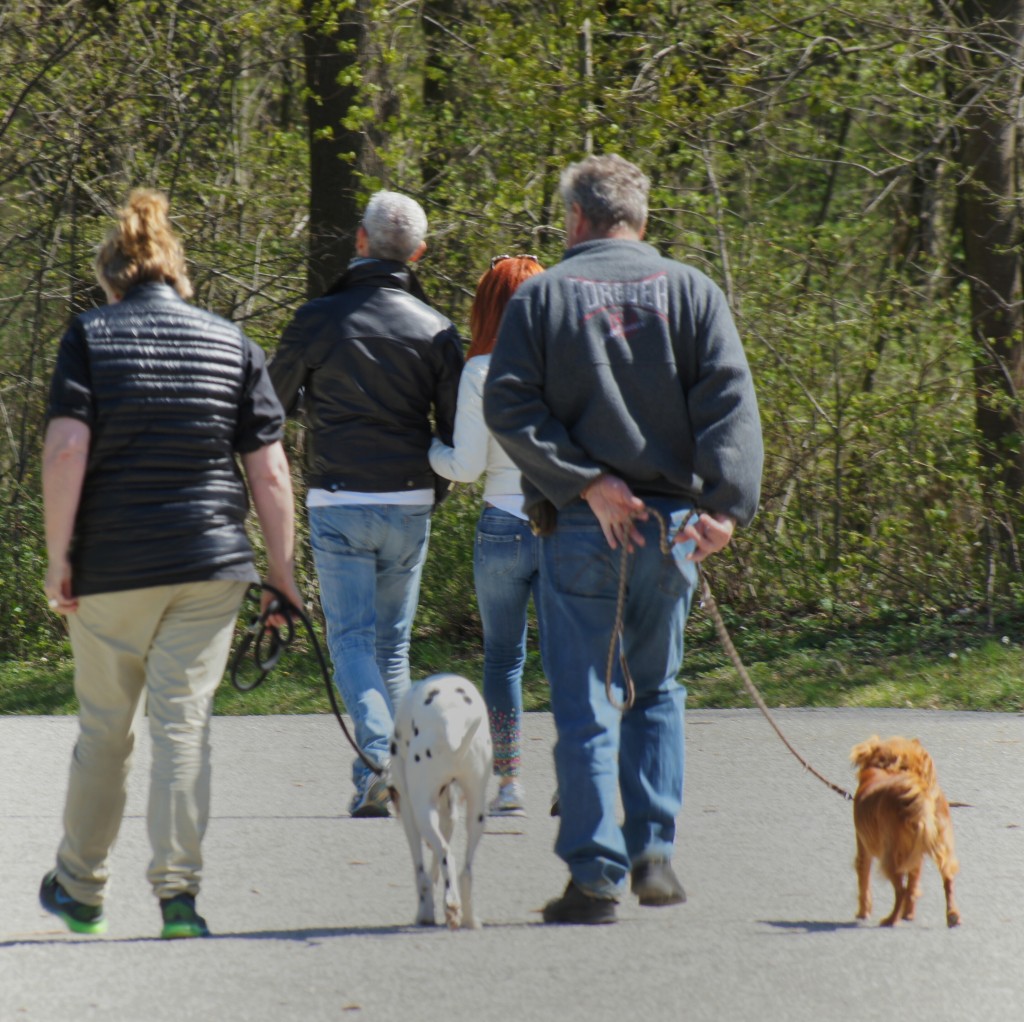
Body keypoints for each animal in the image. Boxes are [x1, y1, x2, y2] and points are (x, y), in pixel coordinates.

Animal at [385, 675, 493, 933]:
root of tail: (451, 723)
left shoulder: (410, 814)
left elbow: (422, 872)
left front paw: (424, 913)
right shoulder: (448, 816)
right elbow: (434, 867)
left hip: (422, 812)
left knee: (446, 854)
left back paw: (451, 905)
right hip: (477, 813)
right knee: (465, 871)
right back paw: (468, 918)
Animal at [847, 737, 958, 929]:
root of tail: (920, 792)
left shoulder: (863, 848)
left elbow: (864, 882)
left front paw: (863, 913)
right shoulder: (916, 855)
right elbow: (913, 884)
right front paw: (909, 914)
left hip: (890, 856)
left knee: (900, 890)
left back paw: (891, 919)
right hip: (941, 845)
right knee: (947, 879)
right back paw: (952, 916)